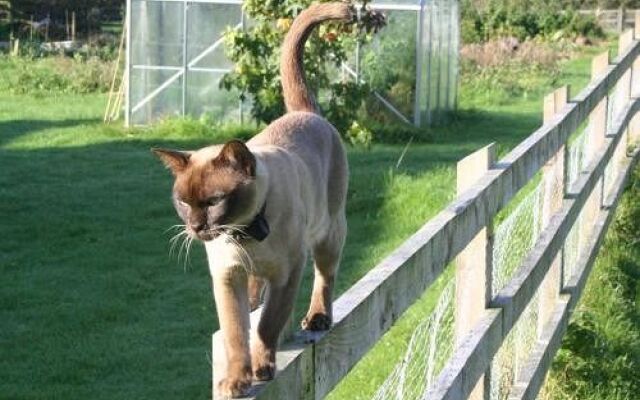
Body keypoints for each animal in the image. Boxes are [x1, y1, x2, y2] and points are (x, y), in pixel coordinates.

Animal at [152, 3, 352, 396]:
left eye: (214, 201)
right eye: (183, 202)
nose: (195, 227)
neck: (244, 233)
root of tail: (304, 113)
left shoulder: (288, 274)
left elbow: (266, 327)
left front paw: (262, 368)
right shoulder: (228, 277)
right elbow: (236, 334)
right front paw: (236, 380)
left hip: (328, 234)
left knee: (325, 277)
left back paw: (317, 318)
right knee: (257, 295)